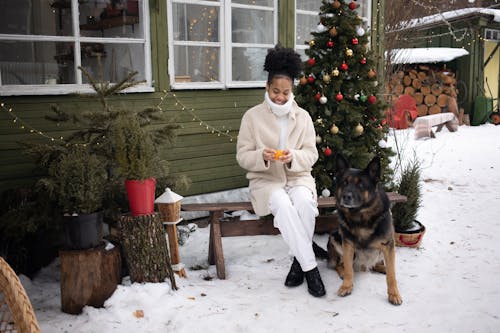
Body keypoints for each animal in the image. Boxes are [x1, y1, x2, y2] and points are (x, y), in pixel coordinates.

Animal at [328, 154, 402, 304]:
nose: (346, 197)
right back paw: (343, 272)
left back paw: (382, 267)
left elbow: (392, 274)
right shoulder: (348, 244)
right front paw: (347, 286)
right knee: (340, 264)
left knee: (379, 264)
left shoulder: (388, 245)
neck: (360, 216)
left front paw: (394, 294)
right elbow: (349, 269)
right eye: (344, 183)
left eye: (361, 184)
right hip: (335, 237)